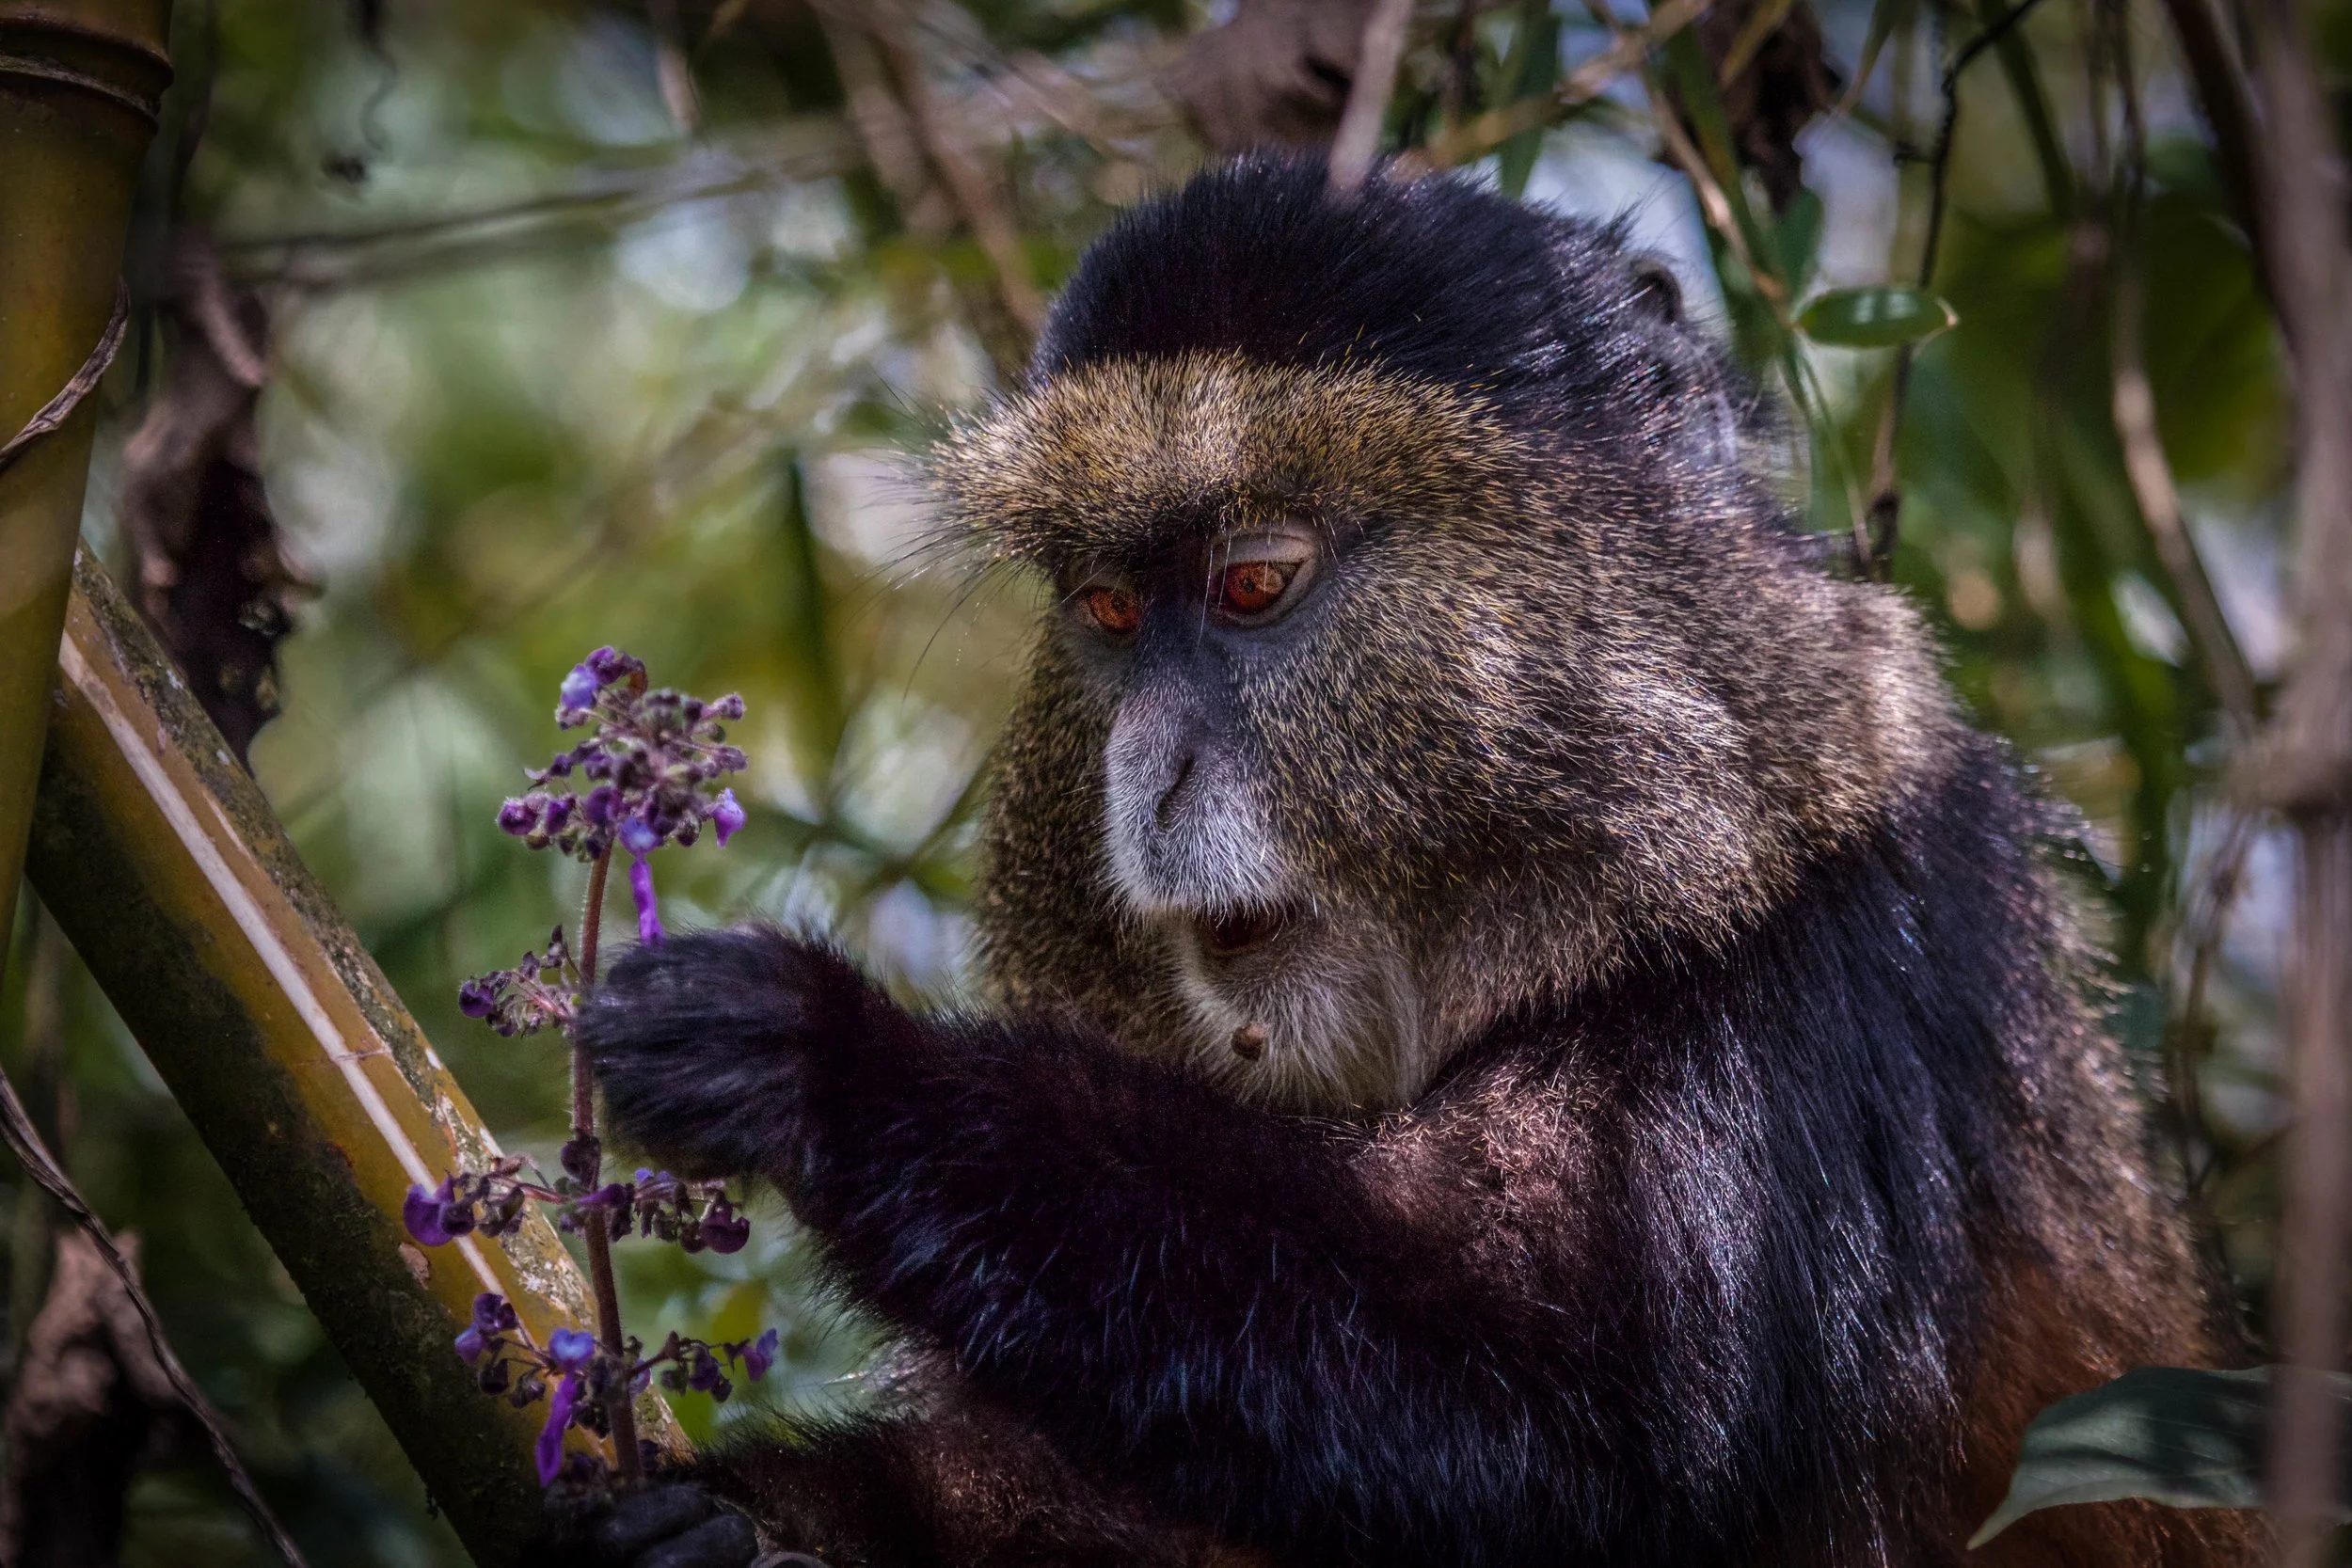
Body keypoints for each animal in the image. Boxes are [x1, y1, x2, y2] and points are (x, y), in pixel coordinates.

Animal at [549, 154, 2266, 1567]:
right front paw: (744, 1525)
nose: (1145, 775)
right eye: (1108, 609)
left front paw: (823, 1055)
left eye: (1253, 584)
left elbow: (1584, 1437)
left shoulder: (1823, 986)